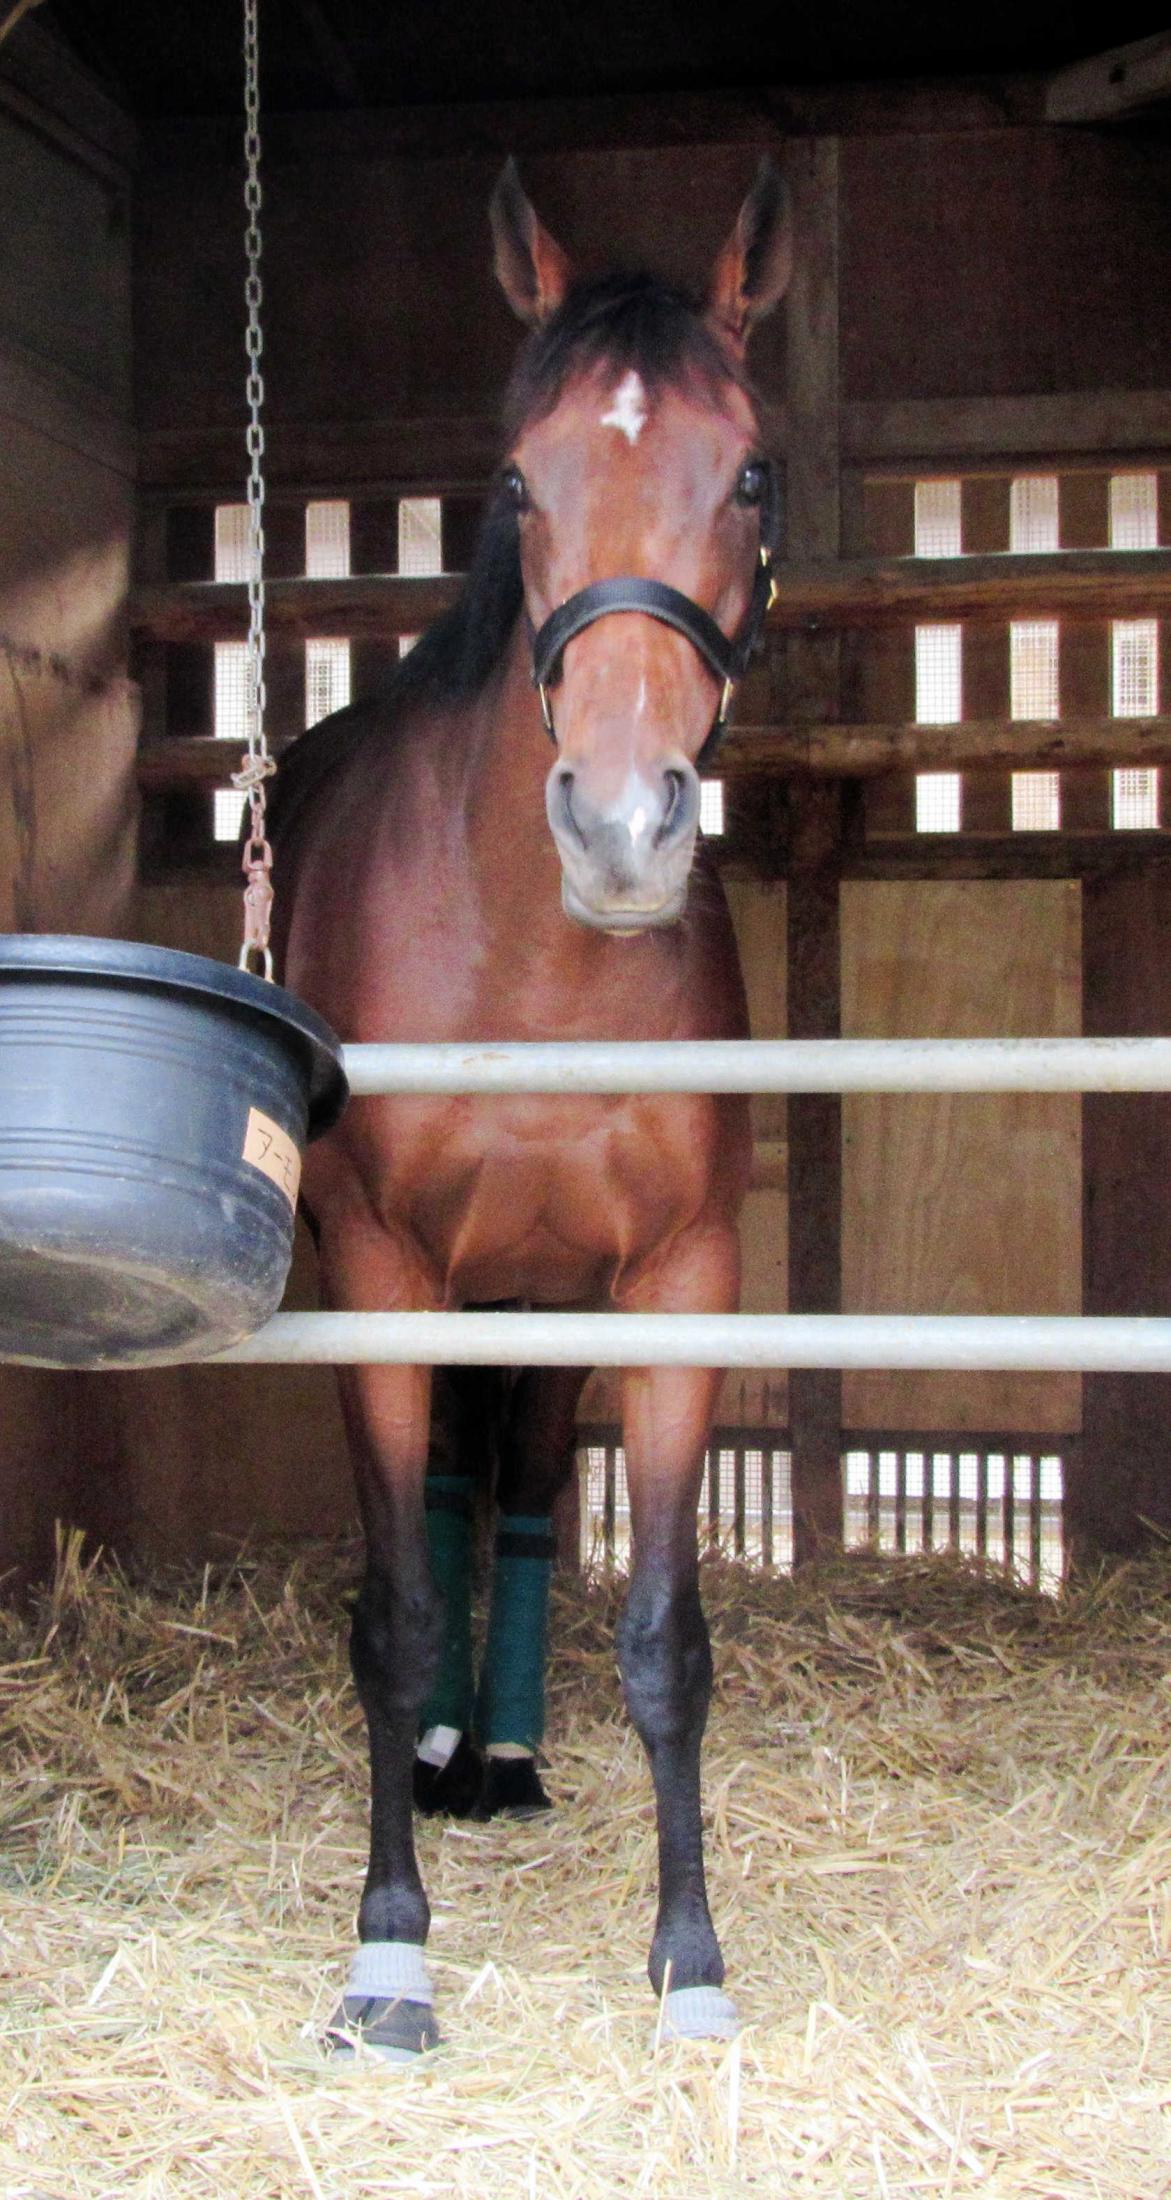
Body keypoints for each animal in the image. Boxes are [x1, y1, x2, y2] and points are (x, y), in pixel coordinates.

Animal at [269, 159, 792, 2059]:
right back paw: (437, 1760)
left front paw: (691, 1962)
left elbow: (660, 1632)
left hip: (545, 1296)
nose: (624, 828)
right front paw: (388, 1948)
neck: (536, 958)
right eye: (513, 477)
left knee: (507, 1492)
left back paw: (493, 1753)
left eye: (750, 470)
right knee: (436, 1505)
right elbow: (389, 1604)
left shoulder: (675, 1279)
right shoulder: (378, 1270)